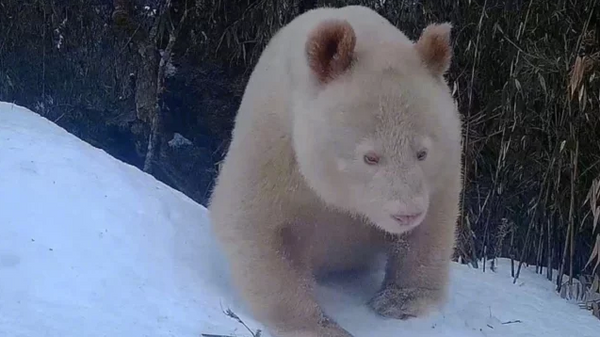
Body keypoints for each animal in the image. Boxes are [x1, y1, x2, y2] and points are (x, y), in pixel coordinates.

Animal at [209, 4, 462, 336]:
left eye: (422, 153)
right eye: (370, 157)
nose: (406, 214)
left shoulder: (443, 168)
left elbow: (432, 225)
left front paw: (401, 302)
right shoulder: (274, 144)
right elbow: (255, 224)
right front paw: (319, 325)